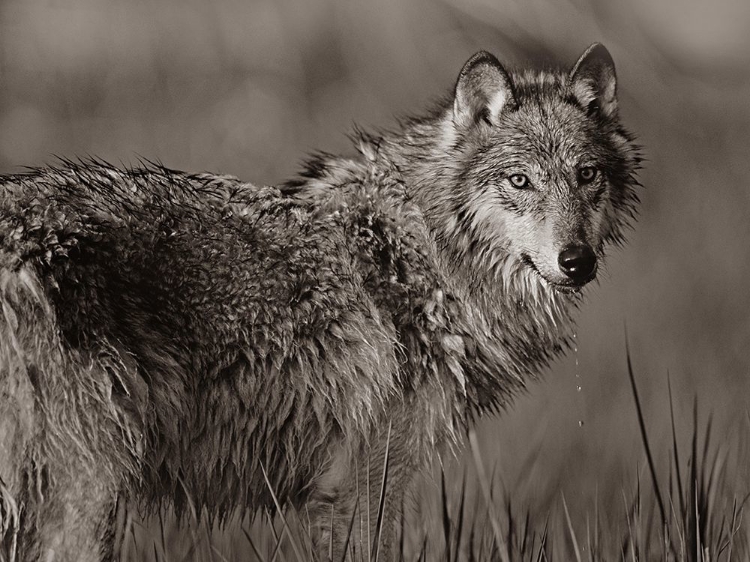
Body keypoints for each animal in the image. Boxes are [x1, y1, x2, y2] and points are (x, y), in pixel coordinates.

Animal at [0, 44, 640, 560]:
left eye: (587, 176)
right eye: (520, 181)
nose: (577, 261)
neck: (426, 251)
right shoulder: (365, 483)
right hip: (87, 501)